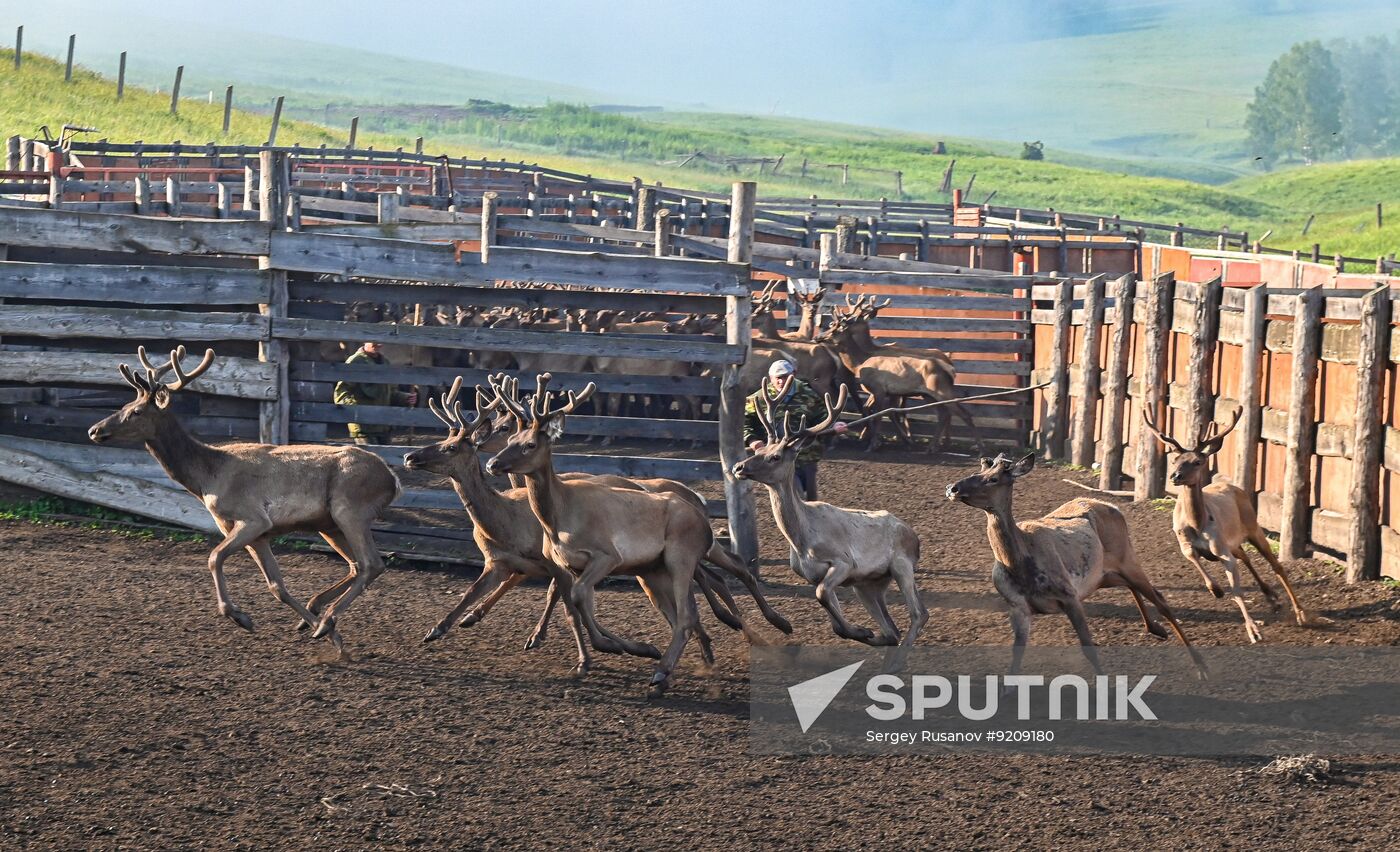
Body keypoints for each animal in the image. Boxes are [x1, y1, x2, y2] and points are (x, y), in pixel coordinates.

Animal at [87, 346, 400, 655]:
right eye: (124, 406)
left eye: (136, 411)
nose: (94, 430)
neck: (206, 479)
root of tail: (393, 480)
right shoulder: (256, 533)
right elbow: (277, 586)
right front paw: (330, 636)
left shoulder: (253, 518)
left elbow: (214, 558)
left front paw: (240, 616)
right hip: (329, 525)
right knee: (356, 565)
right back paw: (318, 613)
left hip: (350, 509)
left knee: (372, 563)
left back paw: (327, 619)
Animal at [482, 373, 763, 698]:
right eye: (511, 440)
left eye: (528, 444)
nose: (492, 463)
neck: (557, 519)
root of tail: (700, 509)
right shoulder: (567, 565)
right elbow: (577, 604)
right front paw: (624, 649)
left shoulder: (607, 556)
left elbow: (577, 595)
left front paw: (618, 648)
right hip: (654, 570)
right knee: (690, 607)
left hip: (681, 556)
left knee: (689, 612)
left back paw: (665, 670)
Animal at [731, 385, 928, 647]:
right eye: (759, 449)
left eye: (775, 456)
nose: (738, 467)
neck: (801, 540)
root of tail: (914, 537)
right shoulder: (814, 575)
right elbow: (833, 619)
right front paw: (861, 631)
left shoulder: (844, 562)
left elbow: (821, 594)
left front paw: (860, 630)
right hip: (868, 584)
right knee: (892, 630)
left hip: (901, 564)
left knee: (918, 614)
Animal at [946, 452, 1208, 679]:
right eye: (980, 469)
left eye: (993, 478)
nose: (952, 488)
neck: (1018, 563)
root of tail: (1115, 508)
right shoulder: (1017, 606)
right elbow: (1016, 654)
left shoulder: (1069, 595)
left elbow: (1088, 645)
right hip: (1104, 576)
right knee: (1133, 588)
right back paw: (1156, 629)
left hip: (1128, 558)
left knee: (1161, 600)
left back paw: (1200, 665)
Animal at [1140, 408, 1331, 643]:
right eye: (1176, 459)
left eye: (1197, 461)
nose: (1175, 476)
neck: (1197, 523)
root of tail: (1235, 486)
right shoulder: (1185, 542)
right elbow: (1194, 557)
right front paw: (1216, 590)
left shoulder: (1222, 549)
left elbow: (1237, 590)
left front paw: (1253, 630)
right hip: (1235, 541)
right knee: (1246, 556)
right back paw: (1272, 597)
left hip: (1253, 527)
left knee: (1276, 566)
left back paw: (1299, 613)